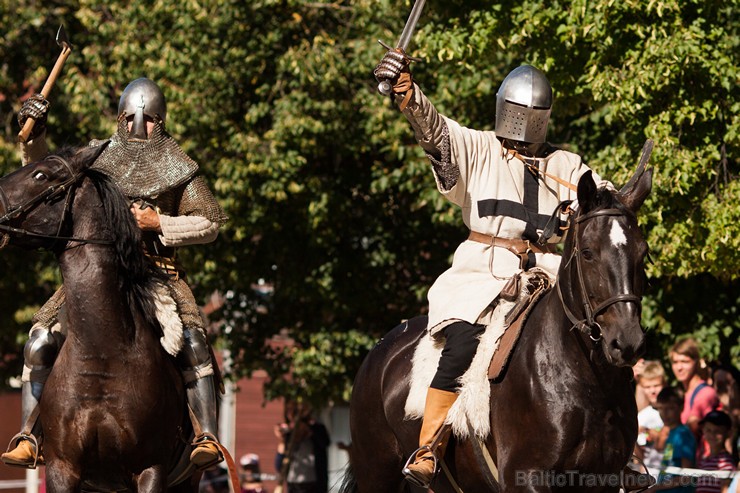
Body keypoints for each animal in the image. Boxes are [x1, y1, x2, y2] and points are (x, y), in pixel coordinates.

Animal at [342, 156, 652, 490]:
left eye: (643, 252)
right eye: (588, 253)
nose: (627, 341)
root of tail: (380, 351)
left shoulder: (602, 478)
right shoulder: (527, 476)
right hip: (378, 474)